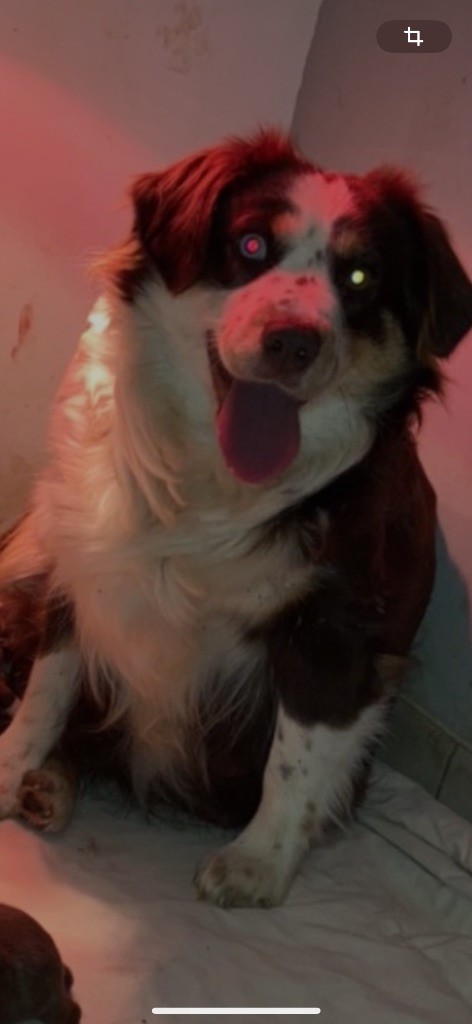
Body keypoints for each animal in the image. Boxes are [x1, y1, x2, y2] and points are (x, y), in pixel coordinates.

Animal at [0, 130, 470, 908]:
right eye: (251, 244)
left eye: (361, 277)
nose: (293, 342)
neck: (209, 482)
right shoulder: (81, 558)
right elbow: (51, 679)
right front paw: (10, 764)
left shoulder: (334, 627)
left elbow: (298, 752)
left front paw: (258, 862)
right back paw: (49, 787)